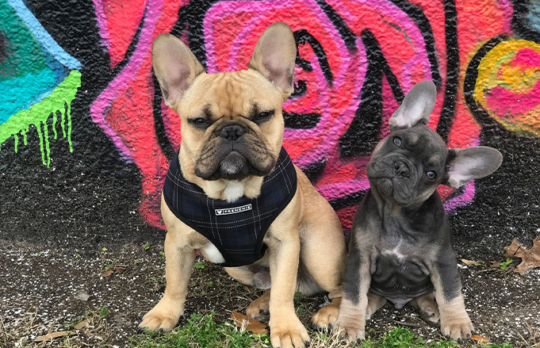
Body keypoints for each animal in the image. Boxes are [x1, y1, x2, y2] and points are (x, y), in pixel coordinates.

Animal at [336, 81, 504, 342]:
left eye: (431, 174)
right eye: (397, 141)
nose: (401, 167)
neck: (395, 213)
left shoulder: (443, 260)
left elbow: (450, 292)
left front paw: (457, 322)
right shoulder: (359, 257)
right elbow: (354, 293)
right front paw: (349, 325)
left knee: (429, 295)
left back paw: (431, 309)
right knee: (370, 295)